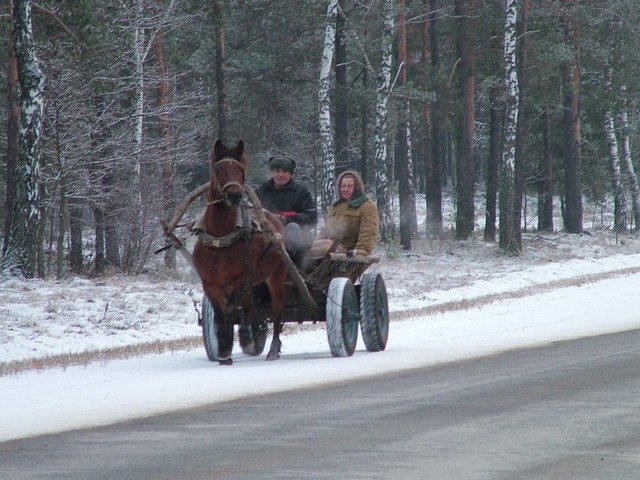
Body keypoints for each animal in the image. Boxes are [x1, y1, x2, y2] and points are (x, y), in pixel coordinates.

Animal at [192, 140, 288, 365]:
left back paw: (271, 348)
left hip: (276, 276)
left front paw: (233, 345)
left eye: (241, 169)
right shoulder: (210, 283)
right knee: (251, 305)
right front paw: (223, 351)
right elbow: (220, 315)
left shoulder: (242, 277)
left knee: (276, 311)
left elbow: (230, 309)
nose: (235, 195)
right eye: (218, 169)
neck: (220, 237)